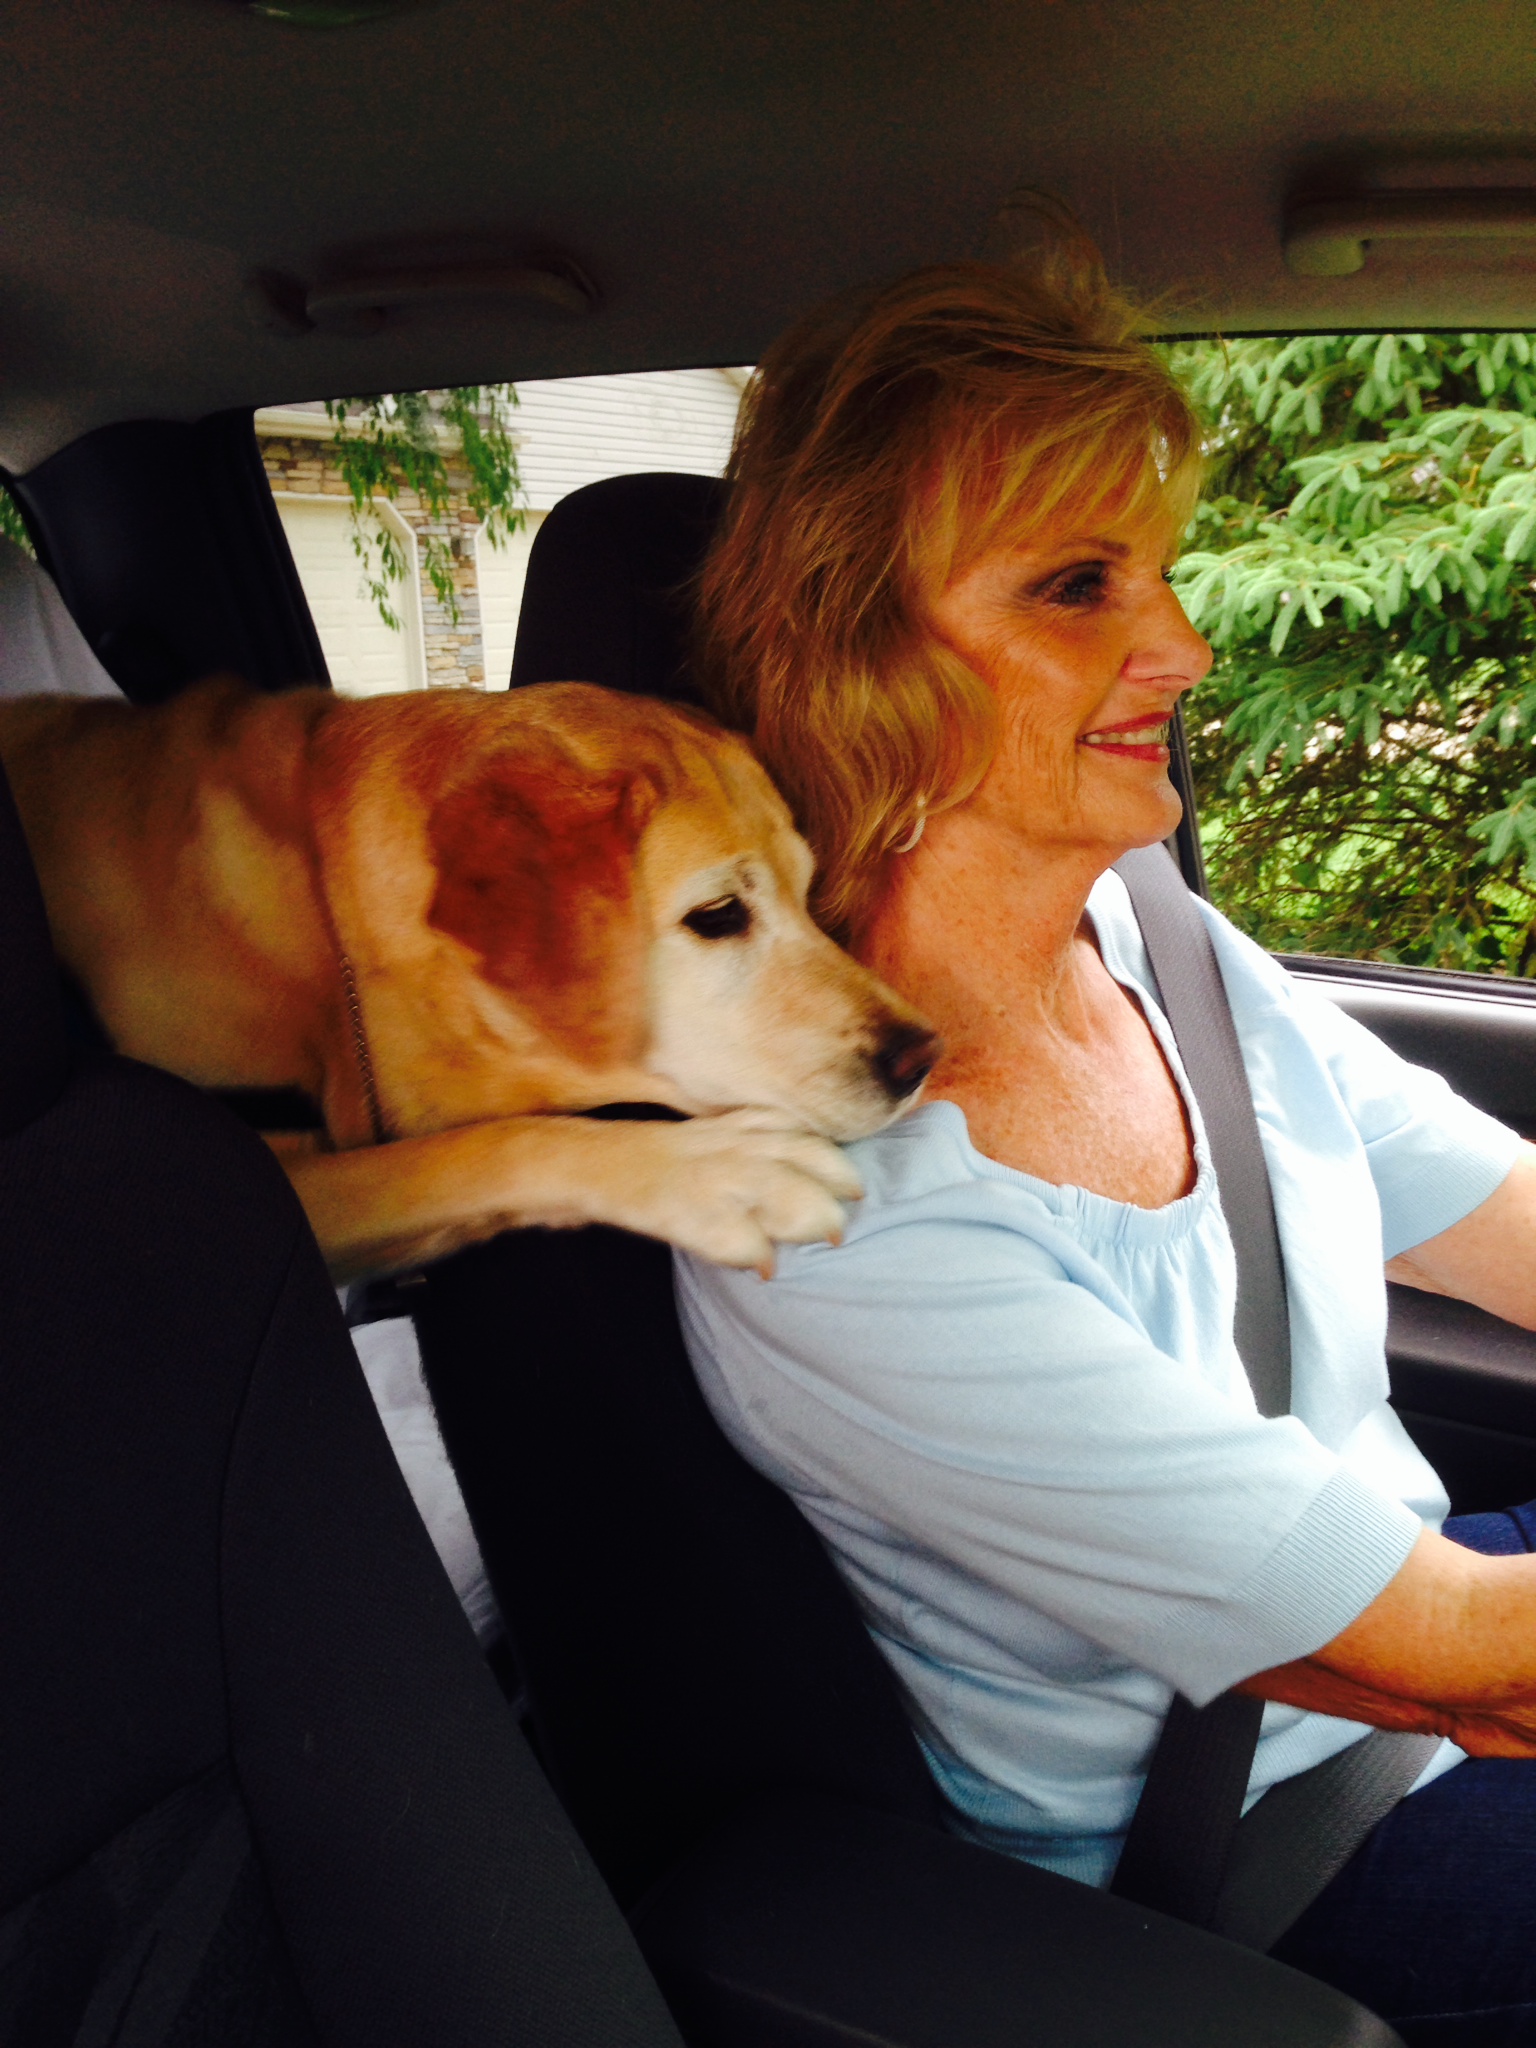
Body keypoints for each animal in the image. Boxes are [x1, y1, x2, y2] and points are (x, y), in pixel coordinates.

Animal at [0, 679, 937, 1269]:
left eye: (809, 892)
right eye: (717, 916)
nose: (921, 1057)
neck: (334, 921)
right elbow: (473, 1151)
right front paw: (713, 1167)